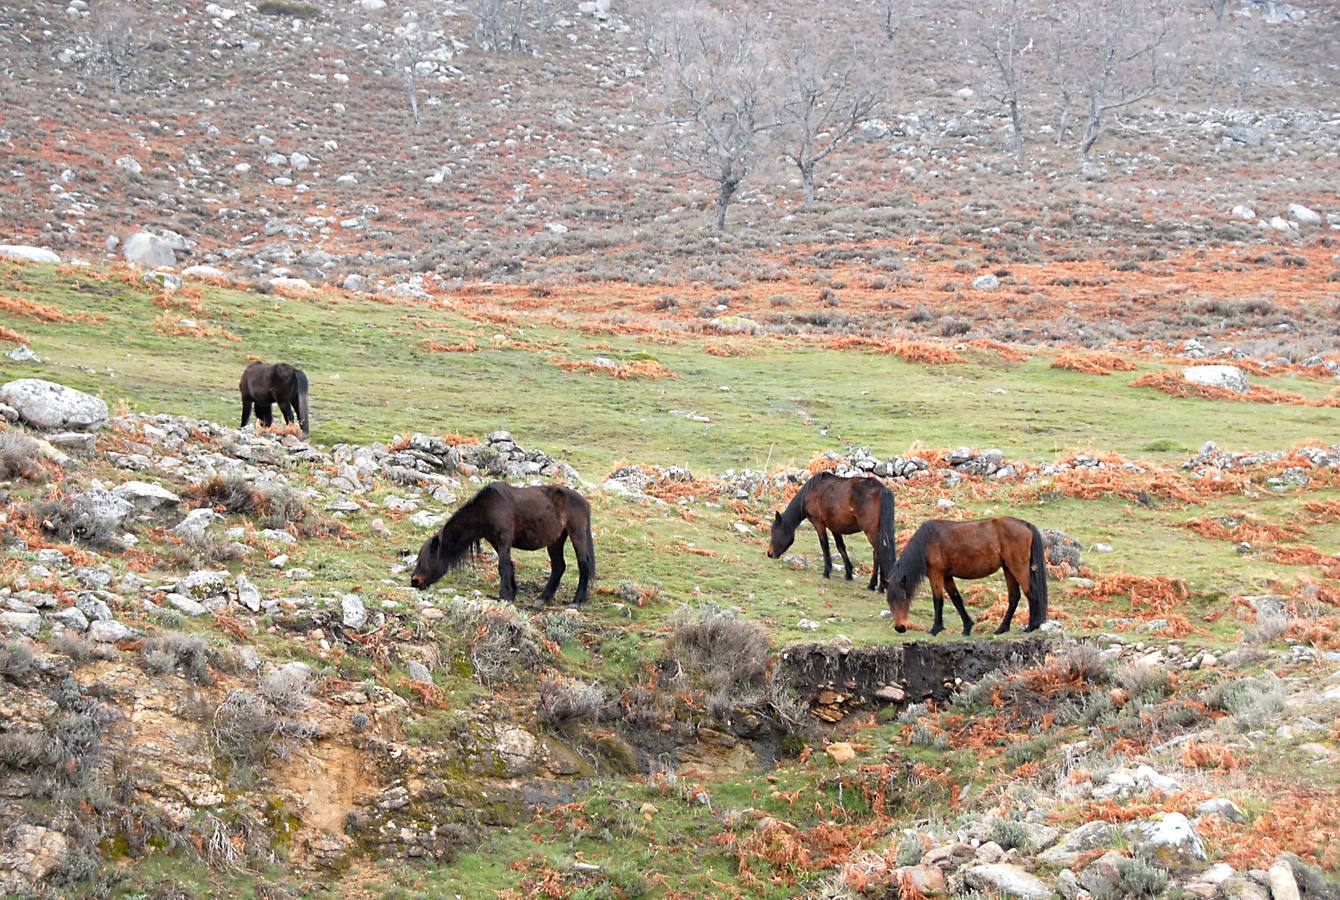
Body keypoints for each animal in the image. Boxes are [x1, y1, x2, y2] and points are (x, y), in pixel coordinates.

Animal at [410, 476, 594, 605]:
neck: (486, 510)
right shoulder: (496, 542)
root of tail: (584, 502)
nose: (415, 581)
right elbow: (509, 566)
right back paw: (543, 598)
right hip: (555, 540)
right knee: (558, 567)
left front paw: (504, 596)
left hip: (576, 534)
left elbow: (503, 566)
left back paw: (577, 600)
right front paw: (512, 594)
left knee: (583, 564)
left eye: (428, 558)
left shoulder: (504, 540)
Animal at [889, 516, 1045, 637]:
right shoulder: (947, 576)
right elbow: (956, 599)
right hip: (1008, 568)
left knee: (1031, 594)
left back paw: (1031, 627)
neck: (928, 541)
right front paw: (967, 628)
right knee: (1014, 597)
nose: (899, 627)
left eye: (904, 599)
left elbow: (938, 601)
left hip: (1017, 567)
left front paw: (935, 630)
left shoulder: (936, 574)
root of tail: (1024, 524)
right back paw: (1001, 629)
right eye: (890, 603)